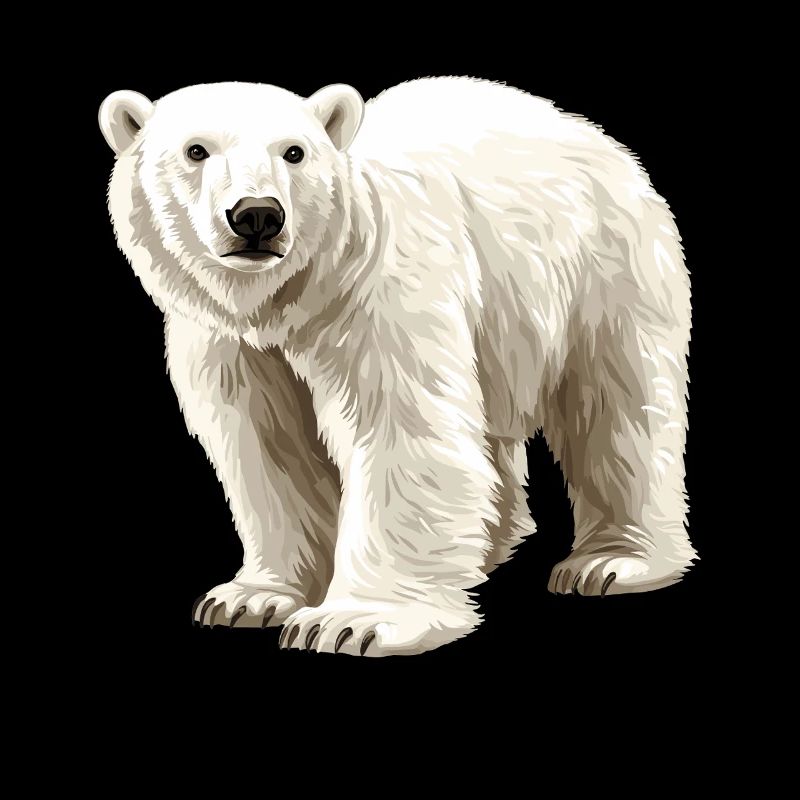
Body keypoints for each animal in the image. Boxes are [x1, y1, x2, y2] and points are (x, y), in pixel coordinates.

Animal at [99, 78, 695, 656]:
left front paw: (353, 623)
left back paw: (613, 560)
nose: (258, 215)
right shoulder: (229, 340)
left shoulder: (377, 291)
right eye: (195, 150)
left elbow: (397, 428)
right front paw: (252, 597)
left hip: (602, 266)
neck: (289, 298)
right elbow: (270, 443)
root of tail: (600, 139)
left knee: (617, 401)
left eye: (294, 152)